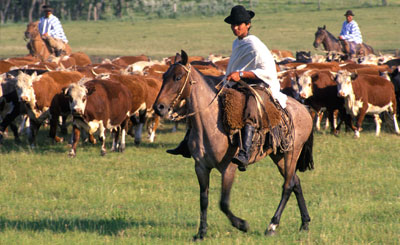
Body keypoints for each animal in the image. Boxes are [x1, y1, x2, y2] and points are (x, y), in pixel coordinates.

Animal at [155, 50, 314, 240]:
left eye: (178, 77)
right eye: (164, 76)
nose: (159, 107)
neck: (210, 124)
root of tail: (304, 109)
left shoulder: (228, 169)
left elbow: (223, 203)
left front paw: (242, 224)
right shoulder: (201, 167)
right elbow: (204, 199)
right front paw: (201, 232)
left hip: (292, 152)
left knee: (288, 185)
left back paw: (272, 225)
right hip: (279, 155)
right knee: (296, 182)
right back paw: (304, 223)